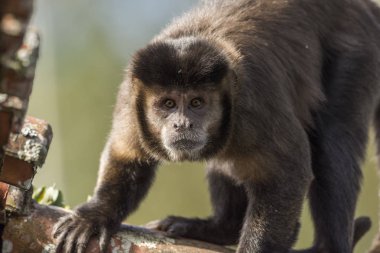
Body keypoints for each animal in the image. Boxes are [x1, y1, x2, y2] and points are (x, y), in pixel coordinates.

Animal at [52, 0, 380, 252]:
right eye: (168, 104)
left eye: (197, 103)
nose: (182, 123)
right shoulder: (130, 101)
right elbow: (126, 156)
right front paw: (96, 215)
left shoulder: (253, 103)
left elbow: (290, 171)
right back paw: (220, 229)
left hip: (357, 46)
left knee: (332, 141)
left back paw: (328, 246)